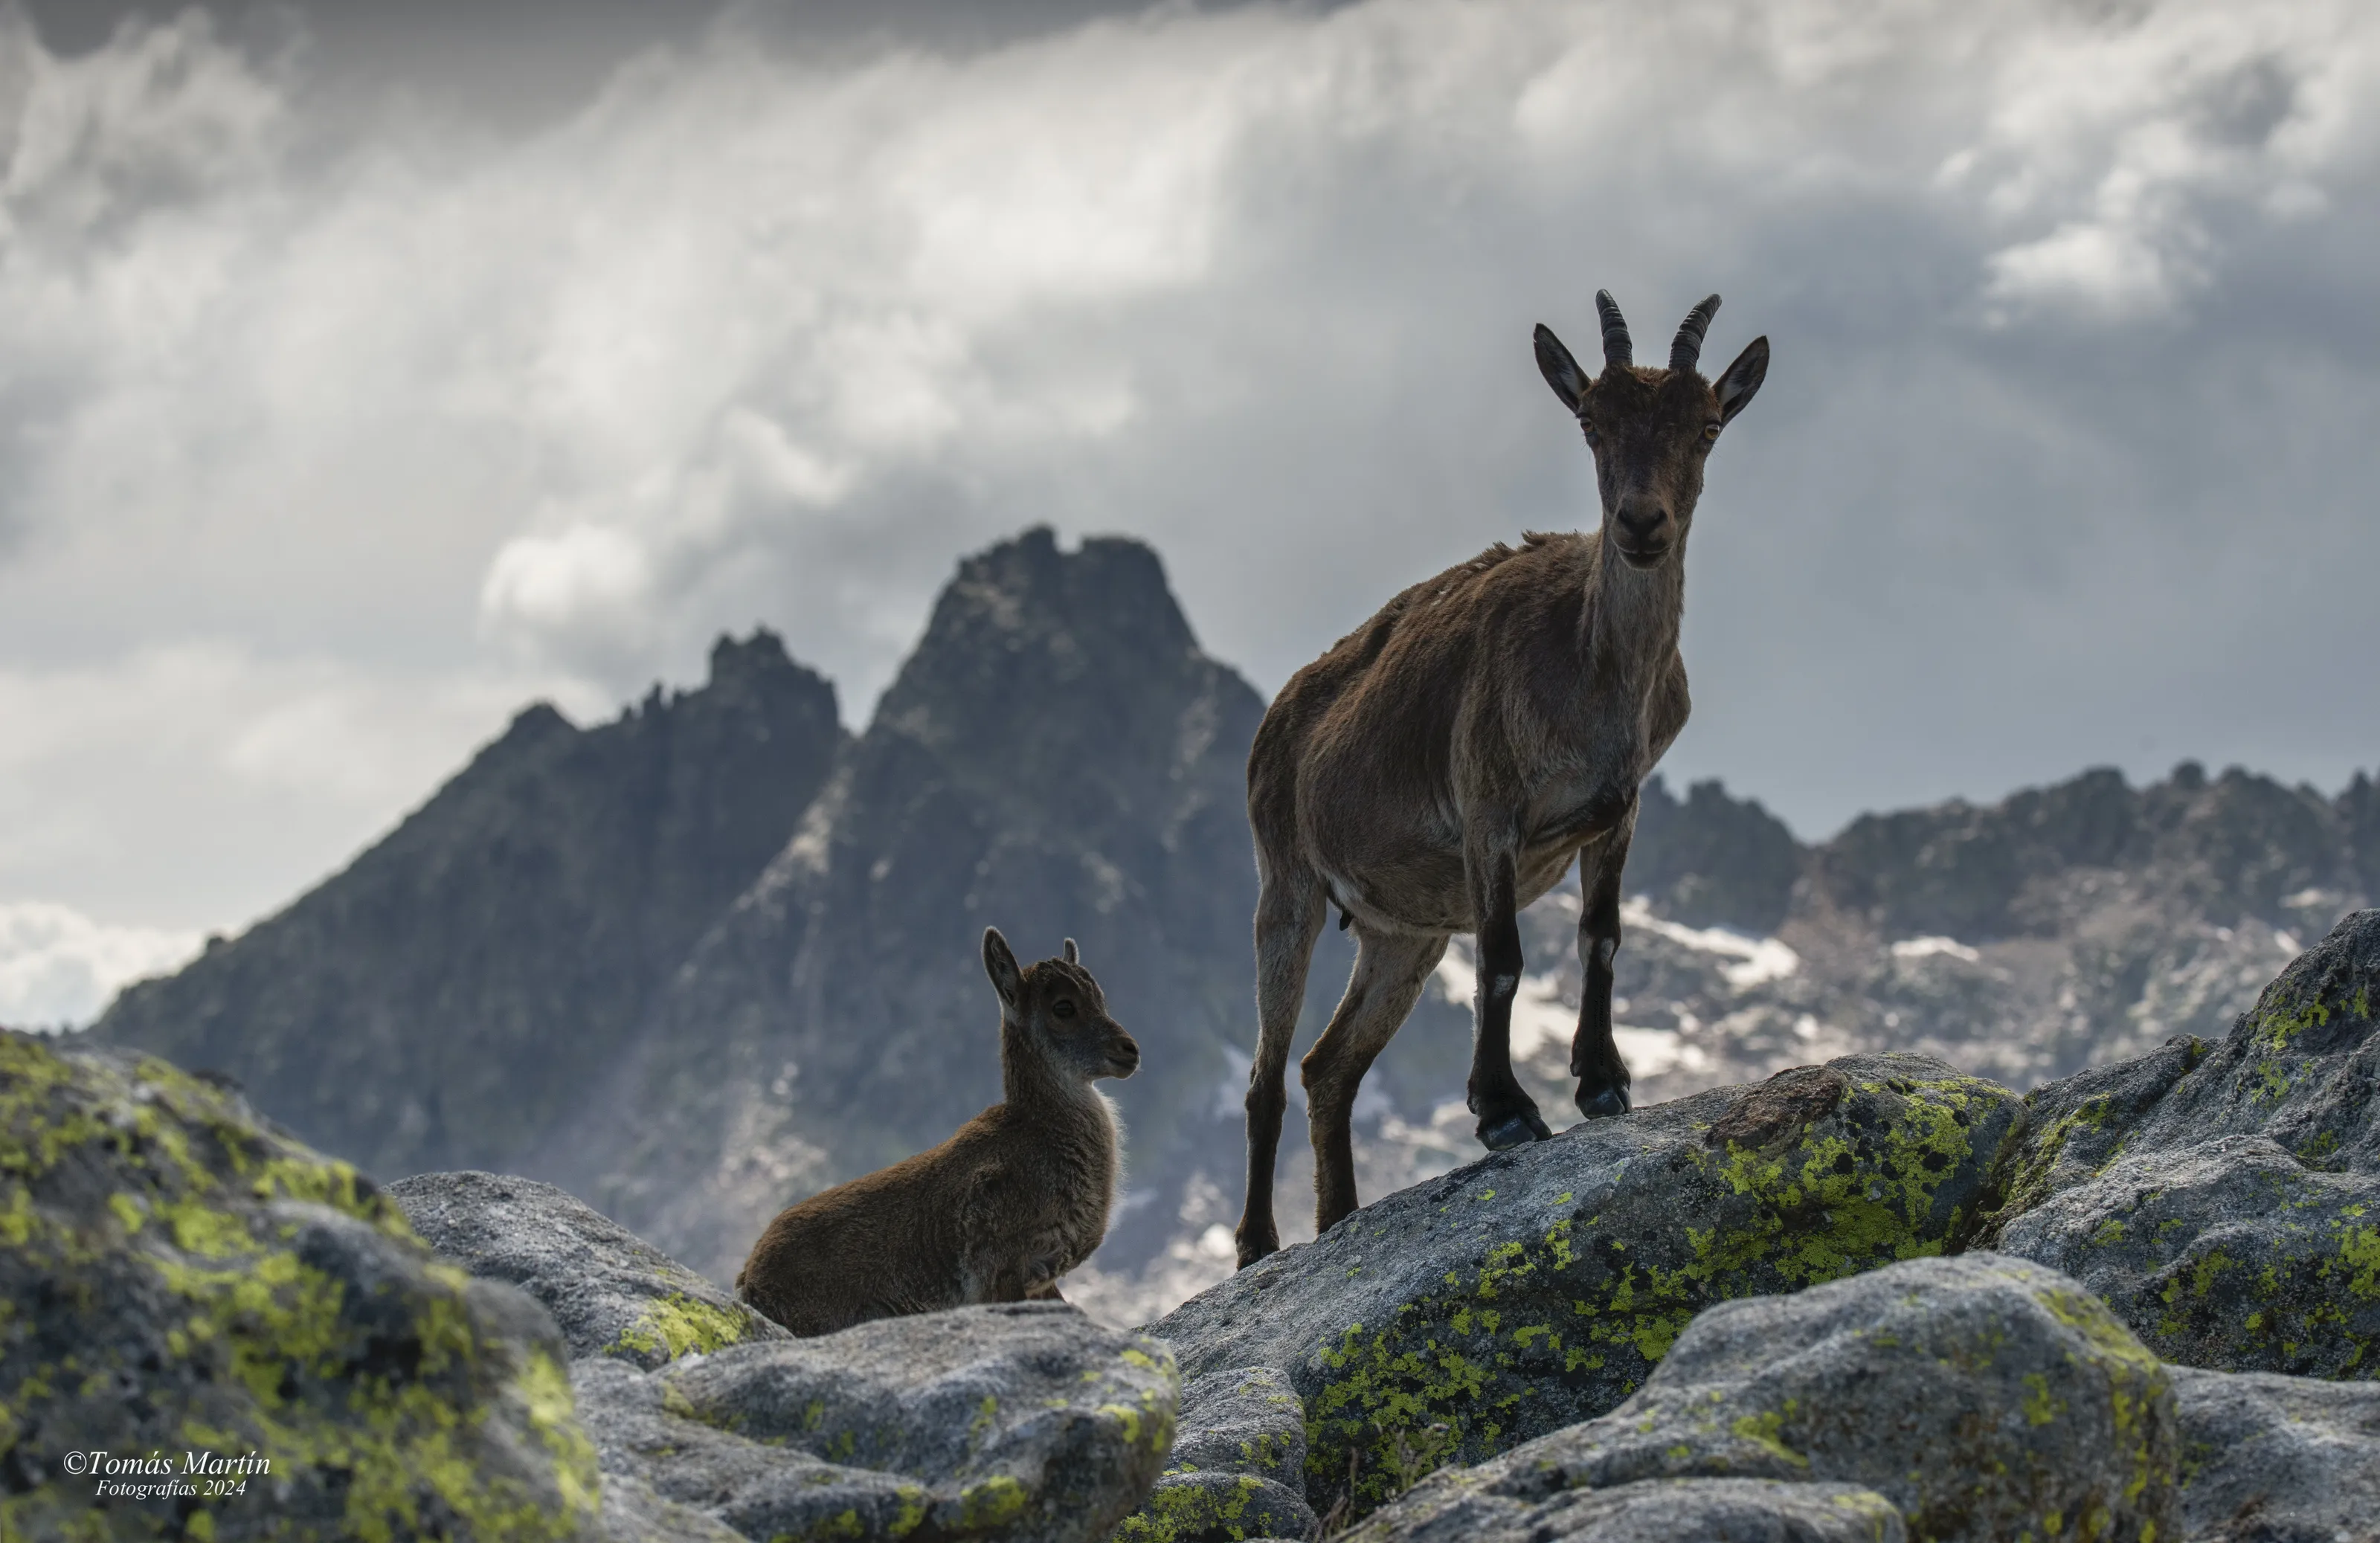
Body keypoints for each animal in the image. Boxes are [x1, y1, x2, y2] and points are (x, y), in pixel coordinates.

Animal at [736, 928, 1139, 1334]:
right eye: (1063, 1008)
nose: (1130, 1050)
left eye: (1101, 999)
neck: (1042, 1134)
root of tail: (749, 1280)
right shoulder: (1001, 1269)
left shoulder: (1040, 1280)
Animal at [1234, 292, 1769, 1265]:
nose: (1640, 524)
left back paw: (1340, 1219)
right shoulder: (1490, 809)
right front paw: (1504, 1110)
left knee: (1327, 1067)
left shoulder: (1616, 812)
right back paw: (1259, 1242)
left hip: (1399, 935)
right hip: (1284, 885)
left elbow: (1600, 935)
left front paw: (1601, 1081)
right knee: (1266, 1071)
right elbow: (1504, 955)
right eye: (1590, 422)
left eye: (1707, 426)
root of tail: (1279, 719)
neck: (1593, 667)